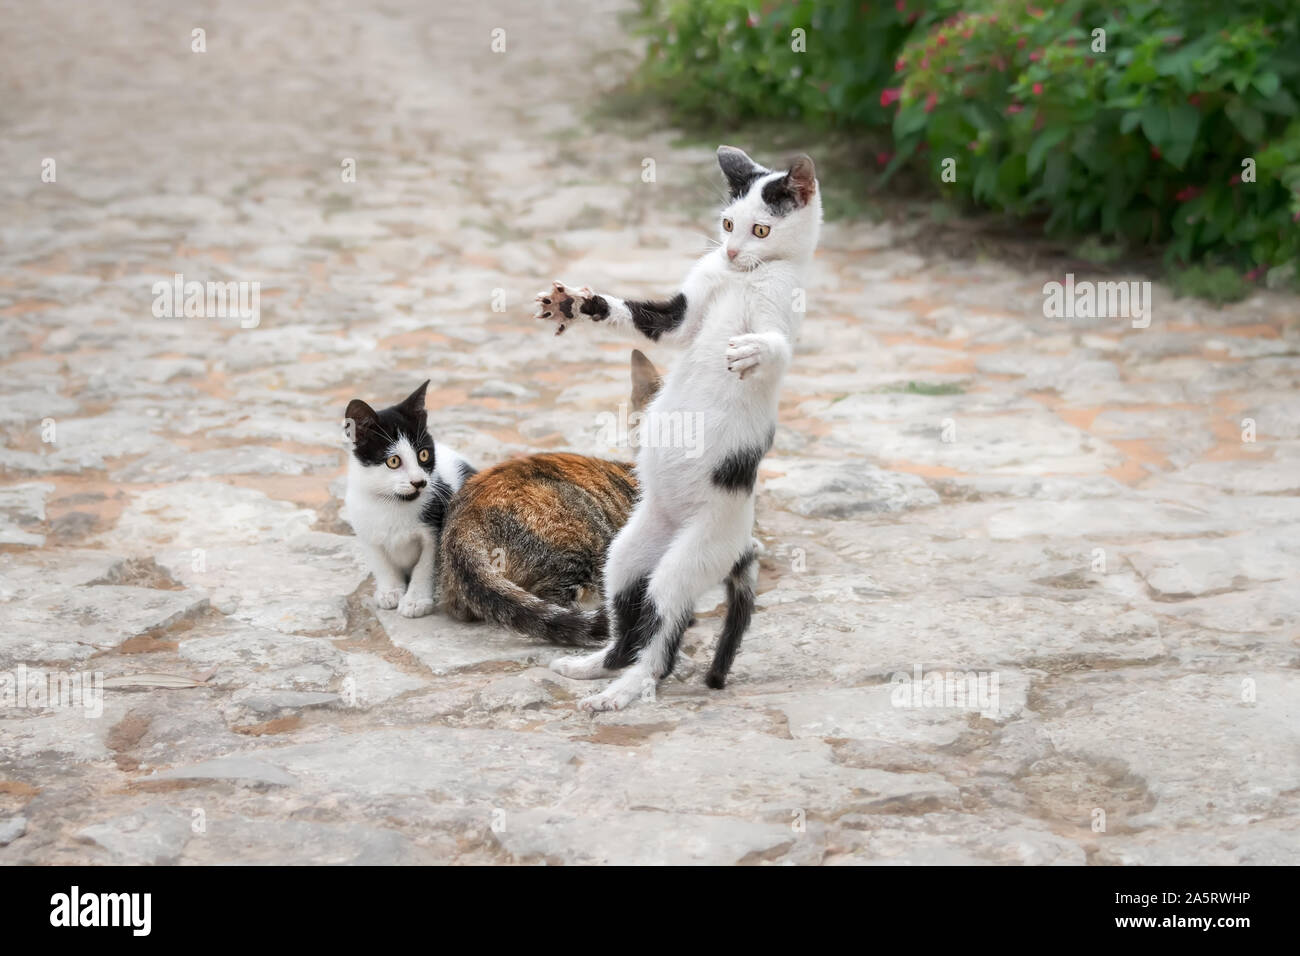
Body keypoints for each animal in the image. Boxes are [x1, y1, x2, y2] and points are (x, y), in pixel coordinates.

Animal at [340, 382, 473, 621]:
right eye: (393, 461)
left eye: (423, 455)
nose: (419, 482)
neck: (394, 502)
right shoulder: (364, 528)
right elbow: (380, 562)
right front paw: (390, 591)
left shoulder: (435, 529)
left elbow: (426, 565)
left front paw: (415, 601)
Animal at [530, 143, 816, 712]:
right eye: (728, 223)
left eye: (762, 230)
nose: (731, 252)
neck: (743, 278)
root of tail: (742, 545)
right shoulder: (682, 317)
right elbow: (653, 321)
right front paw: (581, 304)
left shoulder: (784, 309)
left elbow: (776, 346)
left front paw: (755, 350)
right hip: (626, 552)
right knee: (628, 610)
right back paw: (597, 666)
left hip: (689, 561)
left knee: (663, 631)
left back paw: (625, 691)